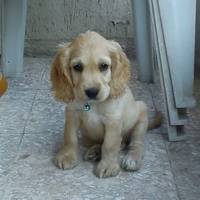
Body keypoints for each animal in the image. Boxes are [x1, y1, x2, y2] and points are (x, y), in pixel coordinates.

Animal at [50, 31, 161, 178]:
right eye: (77, 67)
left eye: (104, 66)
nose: (92, 92)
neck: (91, 104)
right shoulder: (72, 114)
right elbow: (70, 137)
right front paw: (67, 156)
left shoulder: (113, 120)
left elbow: (110, 144)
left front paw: (108, 165)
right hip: (87, 136)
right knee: (108, 143)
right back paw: (94, 152)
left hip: (141, 115)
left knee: (135, 144)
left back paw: (132, 159)